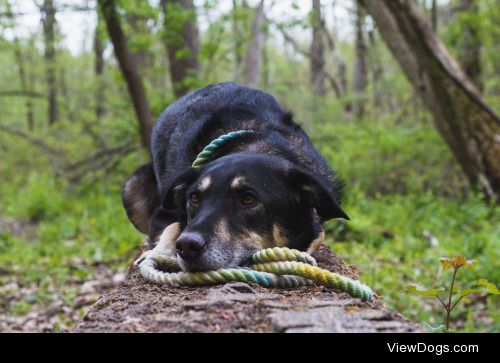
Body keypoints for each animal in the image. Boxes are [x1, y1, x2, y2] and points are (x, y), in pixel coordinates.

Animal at [122, 81, 348, 272]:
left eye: (248, 199)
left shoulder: (315, 223)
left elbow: (315, 238)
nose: (187, 245)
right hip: (131, 188)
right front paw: (158, 251)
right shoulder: (163, 214)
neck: (257, 143)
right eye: (194, 198)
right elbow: (172, 227)